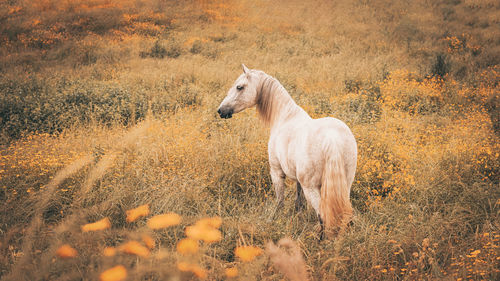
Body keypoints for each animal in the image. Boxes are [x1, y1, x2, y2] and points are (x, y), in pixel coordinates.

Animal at [217, 64, 358, 236]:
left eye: (239, 87)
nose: (221, 110)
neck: (285, 117)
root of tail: (332, 138)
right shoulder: (298, 181)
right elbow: (299, 201)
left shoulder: (276, 173)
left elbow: (280, 201)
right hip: (345, 185)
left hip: (312, 189)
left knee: (323, 217)